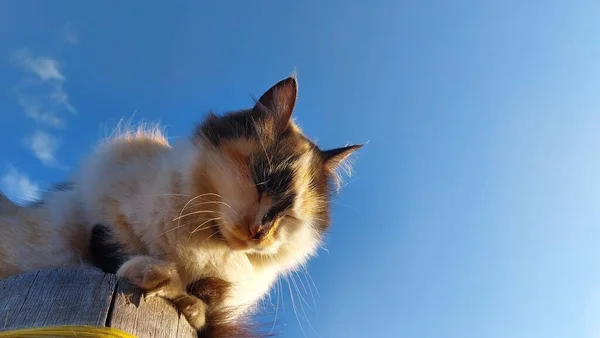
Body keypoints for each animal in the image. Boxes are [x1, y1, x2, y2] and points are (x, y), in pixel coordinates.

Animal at [0, 78, 360, 336]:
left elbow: (205, 302)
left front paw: (187, 301)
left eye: (289, 215)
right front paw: (157, 276)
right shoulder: (100, 220)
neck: (206, 241)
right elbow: (116, 254)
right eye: (262, 182)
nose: (260, 233)